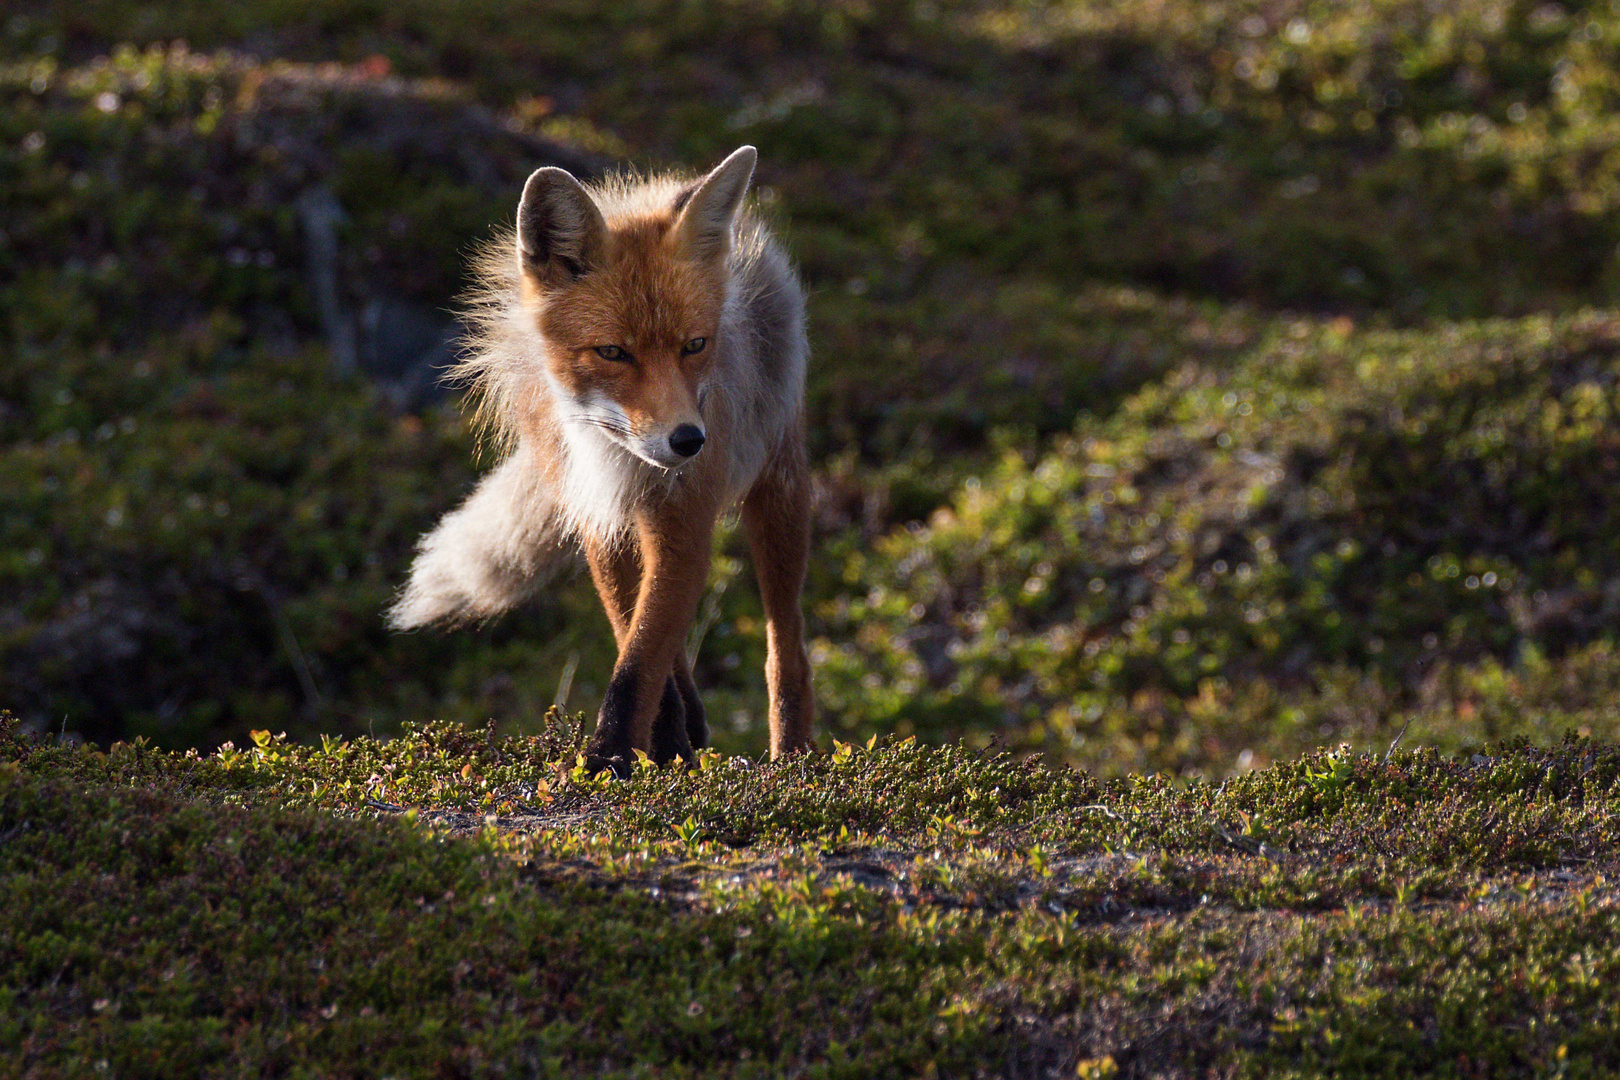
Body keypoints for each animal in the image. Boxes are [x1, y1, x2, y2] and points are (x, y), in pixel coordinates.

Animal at [387, 148, 816, 773]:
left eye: (695, 345)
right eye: (612, 352)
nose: (689, 441)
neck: (624, 460)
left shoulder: (684, 520)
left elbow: (637, 664)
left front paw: (608, 761)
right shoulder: (600, 518)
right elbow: (635, 636)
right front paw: (659, 745)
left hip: (779, 497)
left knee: (787, 649)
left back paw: (795, 759)